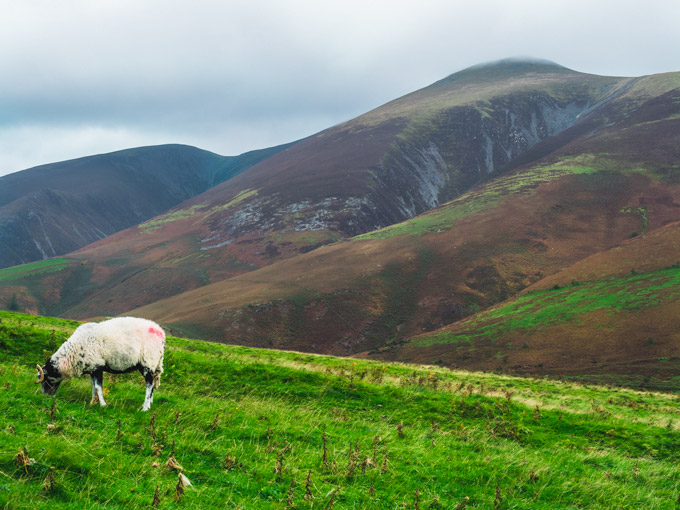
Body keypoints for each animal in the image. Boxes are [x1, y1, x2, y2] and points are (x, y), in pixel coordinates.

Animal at [35, 316, 165, 412]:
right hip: (155, 364)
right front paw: (92, 402)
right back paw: (150, 403)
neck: (72, 355)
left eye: (48, 379)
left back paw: (145, 408)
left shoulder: (98, 367)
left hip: (148, 363)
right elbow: (93, 387)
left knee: (149, 384)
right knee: (153, 384)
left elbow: (98, 387)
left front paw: (103, 405)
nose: (46, 396)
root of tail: (160, 332)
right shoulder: (92, 368)